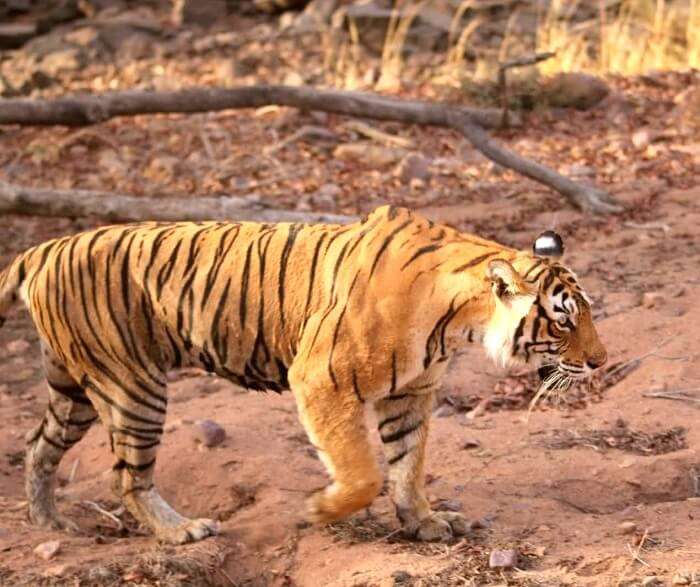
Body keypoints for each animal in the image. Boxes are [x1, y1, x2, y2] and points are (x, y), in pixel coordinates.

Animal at [0, 204, 604, 544]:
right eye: (564, 319)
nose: (600, 361)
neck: (458, 322)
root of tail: (44, 248)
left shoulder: (411, 393)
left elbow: (408, 465)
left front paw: (423, 522)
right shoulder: (321, 379)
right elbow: (364, 472)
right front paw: (319, 510)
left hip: (75, 388)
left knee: (37, 446)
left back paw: (51, 524)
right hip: (132, 386)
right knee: (126, 475)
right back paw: (180, 531)